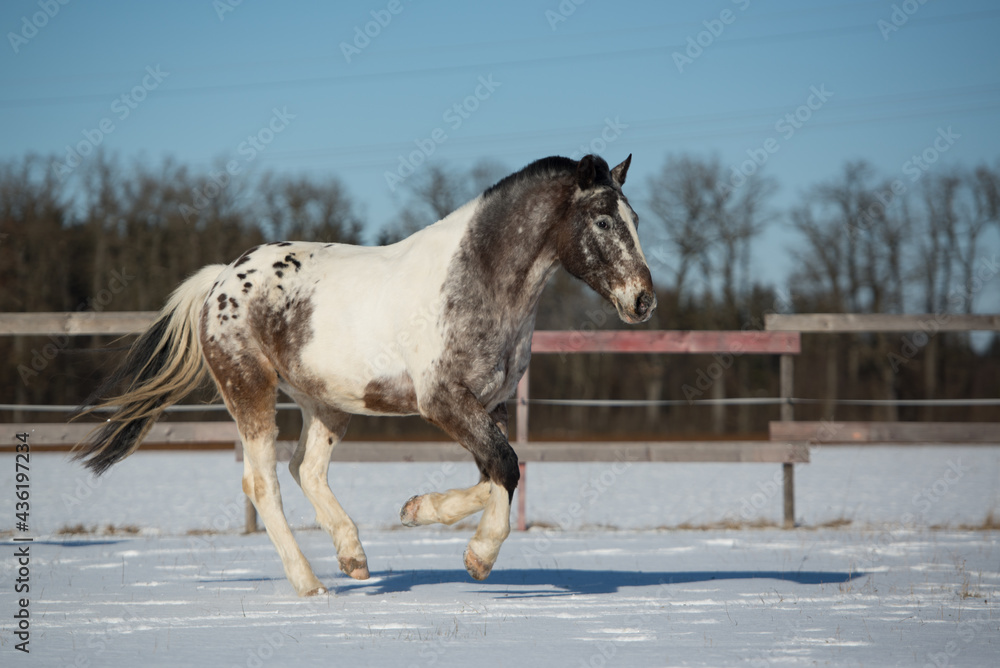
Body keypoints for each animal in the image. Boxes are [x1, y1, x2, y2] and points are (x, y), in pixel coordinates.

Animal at [73, 153, 656, 596]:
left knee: (306, 469)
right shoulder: (442, 401)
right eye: (604, 221)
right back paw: (310, 584)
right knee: (263, 483)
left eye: (637, 220)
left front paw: (416, 510)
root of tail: (221, 279)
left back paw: (353, 556)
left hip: (326, 403)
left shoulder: (491, 403)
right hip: (251, 391)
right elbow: (506, 468)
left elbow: (498, 472)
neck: (482, 284)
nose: (643, 300)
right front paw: (479, 557)